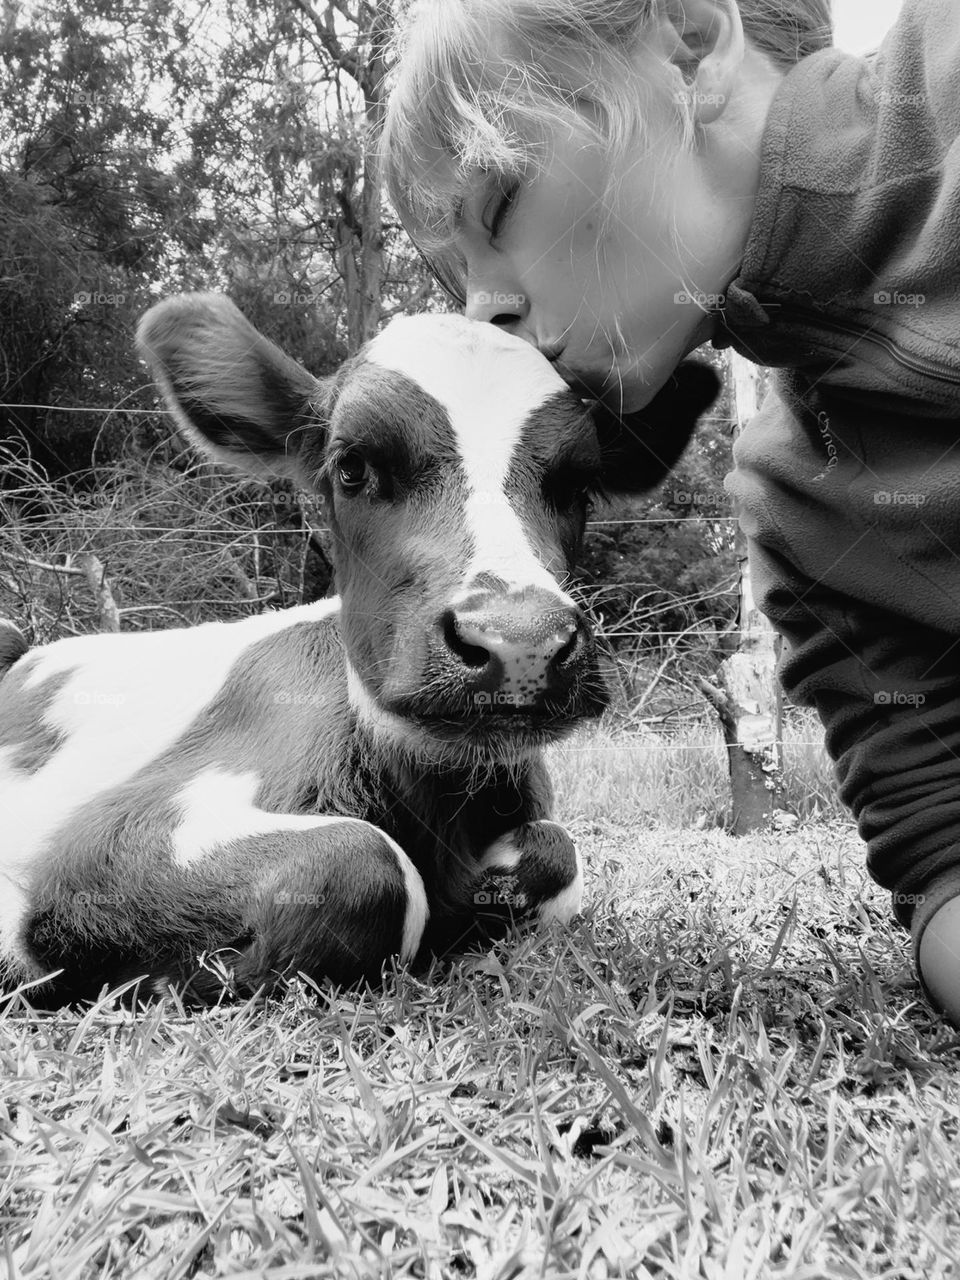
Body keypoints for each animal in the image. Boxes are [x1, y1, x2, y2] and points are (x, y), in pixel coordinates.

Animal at [0, 294, 716, 1003]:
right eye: (353, 467)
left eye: (579, 485)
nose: (521, 644)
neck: (438, 814)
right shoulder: (109, 842)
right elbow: (363, 863)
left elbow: (557, 849)